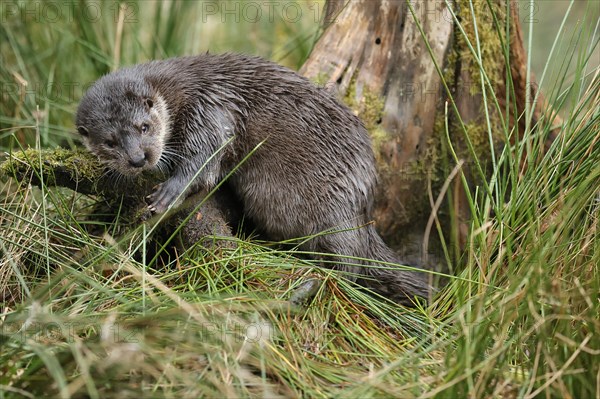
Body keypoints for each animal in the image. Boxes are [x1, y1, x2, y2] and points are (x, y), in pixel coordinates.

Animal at [76, 52, 432, 304]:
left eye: (144, 127)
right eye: (109, 142)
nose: (139, 158)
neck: (178, 89)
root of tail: (365, 205)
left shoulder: (209, 109)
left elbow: (205, 160)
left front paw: (171, 191)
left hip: (333, 204)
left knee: (349, 263)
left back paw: (312, 284)